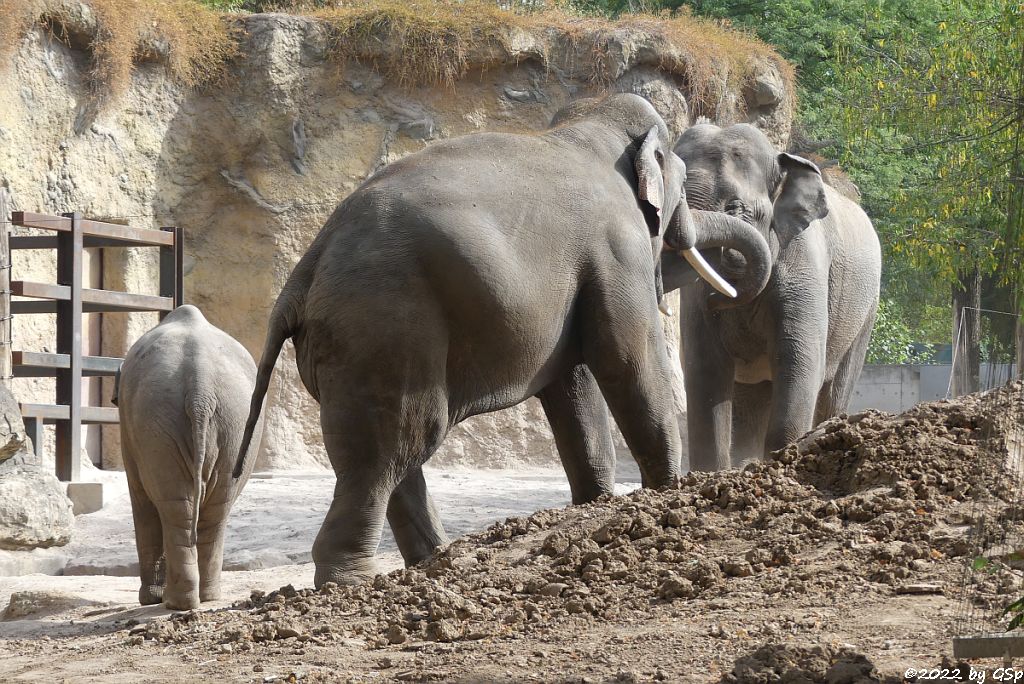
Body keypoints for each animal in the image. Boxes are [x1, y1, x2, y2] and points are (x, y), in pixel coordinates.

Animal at [113, 305, 264, 610]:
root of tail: (200, 388)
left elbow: (140, 498)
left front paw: (149, 600)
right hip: (233, 423)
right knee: (214, 508)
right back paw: (204, 597)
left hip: (156, 421)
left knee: (174, 507)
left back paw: (175, 602)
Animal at [667, 122, 884, 471]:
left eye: (735, 208)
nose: (718, 299)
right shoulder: (695, 298)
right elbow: (705, 367)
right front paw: (709, 474)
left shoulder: (805, 264)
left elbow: (799, 360)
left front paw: (783, 460)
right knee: (750, 401)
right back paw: (744, 463)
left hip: (866, 311)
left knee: (835, 386)